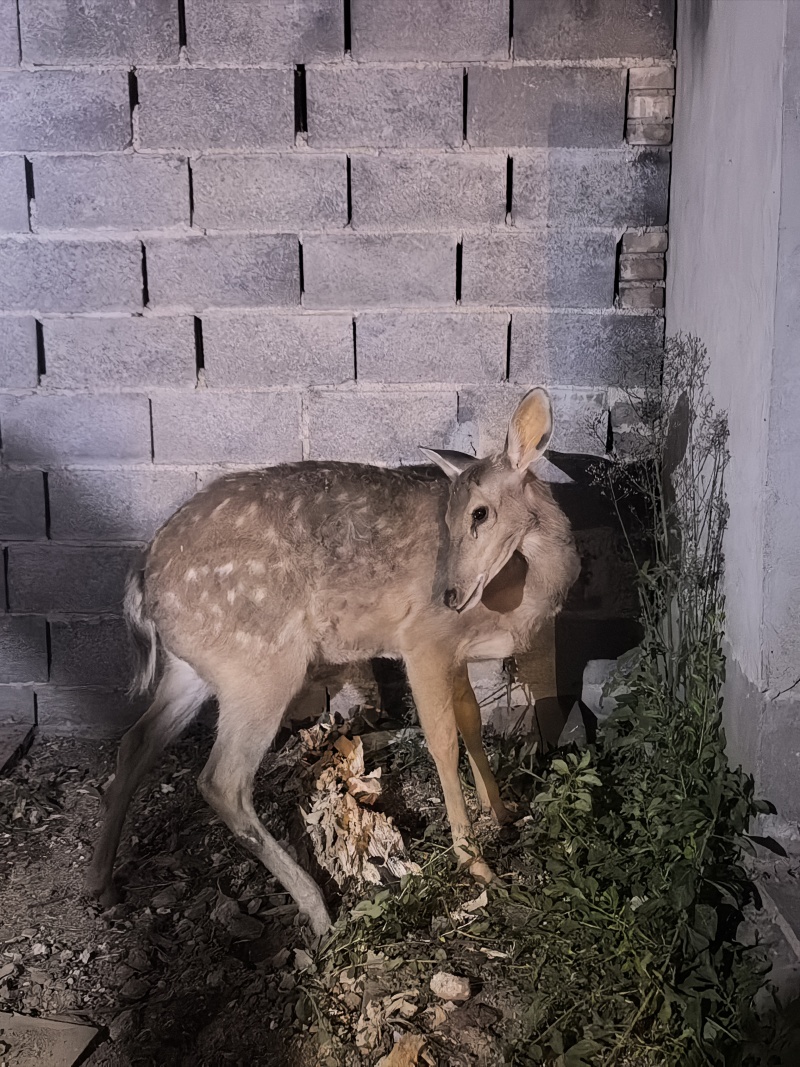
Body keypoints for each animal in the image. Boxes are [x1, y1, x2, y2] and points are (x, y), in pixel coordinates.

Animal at [86, 387, 580, 936]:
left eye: (479, 513)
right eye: (452, 519)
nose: (449, 594)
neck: (518, 597)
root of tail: (142, 575)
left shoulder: (456, 654)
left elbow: (472, 725)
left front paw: (503, 812)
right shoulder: (423, 641)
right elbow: (444, 742)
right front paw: (476, 864)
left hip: (192, 667)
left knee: (135, 741)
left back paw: (102, 885)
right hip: (261, 664)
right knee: (221, 781)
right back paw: (319, 909)